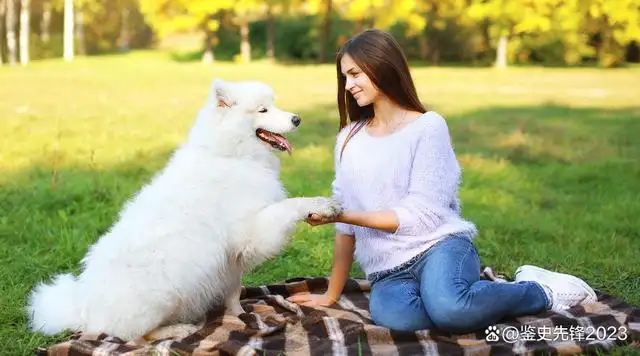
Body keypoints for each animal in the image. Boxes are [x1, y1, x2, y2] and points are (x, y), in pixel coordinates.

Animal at [27, 79, 342, 340]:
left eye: (274, 105)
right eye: (263, 110)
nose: (297, 119)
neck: (232, 155)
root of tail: (82, 308)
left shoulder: (232, 259)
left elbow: (233, 292)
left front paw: (241, 316)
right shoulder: (250, 233)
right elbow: (289, 205)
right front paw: (321, 204)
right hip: (162, 293)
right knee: (133, 336)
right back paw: (178, 330)